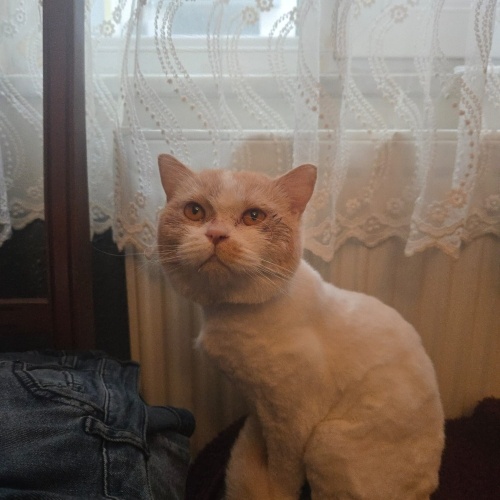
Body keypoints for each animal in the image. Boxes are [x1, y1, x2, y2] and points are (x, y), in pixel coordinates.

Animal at [157, 154, 445, 500]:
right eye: (195, 211)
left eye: (254, 216)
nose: (216, 234)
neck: (226, 311)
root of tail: (427, 489)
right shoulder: (258, 405)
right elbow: (259, 439)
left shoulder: (291, 421)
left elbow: (282, 475)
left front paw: (271, 487)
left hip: (325, 443)